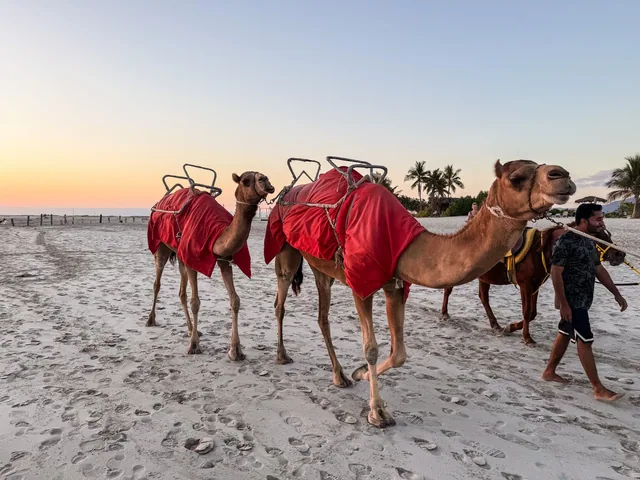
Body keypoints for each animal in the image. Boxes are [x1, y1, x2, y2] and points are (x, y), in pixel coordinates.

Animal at [147, 171, 274, 357]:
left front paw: (235, 350)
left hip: (181, 255)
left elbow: (235, 300)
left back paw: (191, 329)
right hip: (161, 245)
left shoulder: (223, 260)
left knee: (181, 292)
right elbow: (195, 302)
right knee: (157, 283)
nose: (265, 180)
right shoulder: (193, 258)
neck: (217, 234)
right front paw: (194, 346)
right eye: (245, 181)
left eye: (264, 176)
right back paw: (151, 320)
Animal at [270, 159, 576, 428]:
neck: (405, 243)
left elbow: (399, 353)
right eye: (516, 178)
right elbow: (371, 348)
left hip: (320, 266)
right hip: (284, 247)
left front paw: (359, 373)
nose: (563, 176)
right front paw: (377, 412)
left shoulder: (395, 284)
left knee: (322, 316)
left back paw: (340, 375)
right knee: (281, 302)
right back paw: (282, 356)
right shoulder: (361, 282)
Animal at [441, 224, 626, 344]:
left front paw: (511, 327)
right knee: (448, 290)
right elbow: (526, 311)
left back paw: (495, 324)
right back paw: (444, 313)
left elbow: (532, 313)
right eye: (597, 234)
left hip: (483, 278)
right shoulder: (525, 285)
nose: (620, 254)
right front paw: (526, 337)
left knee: (483, 298)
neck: (541, 249)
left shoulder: (535, 286)